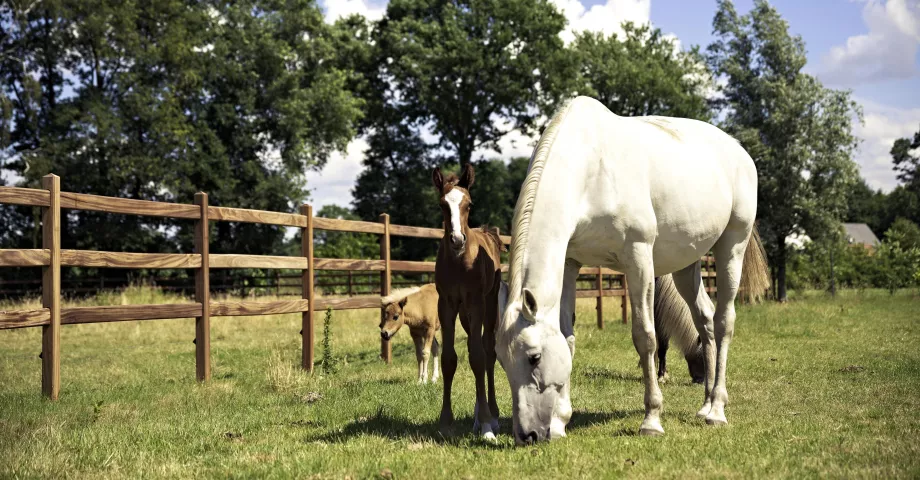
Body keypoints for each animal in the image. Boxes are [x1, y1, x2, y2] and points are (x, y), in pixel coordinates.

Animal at [432, 163, 506, 441]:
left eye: (469, 204)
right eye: (442, 204)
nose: (457, 239)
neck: (459, 261)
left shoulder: (476, 302)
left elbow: (477, 356)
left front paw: (487, 424)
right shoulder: (447, 304)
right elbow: (449, 358)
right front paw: (445, 422)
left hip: (489, 305)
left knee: (488, 351)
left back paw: (492, 415)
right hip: (465, 314)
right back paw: (476, 416)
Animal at [496, 96, 770, 444]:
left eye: (534, 357)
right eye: (501, 360)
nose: (527, 434)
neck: (591, 170)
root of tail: (739, 151)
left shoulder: (638, 258)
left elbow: (646, 337)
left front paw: (651, 420)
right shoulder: (571, 262)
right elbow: (568, 338)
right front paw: (560, 421)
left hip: (732, 247)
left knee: (723, 322)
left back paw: (717, 411)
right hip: (686, 265)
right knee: (705, 320)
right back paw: (705, 405)